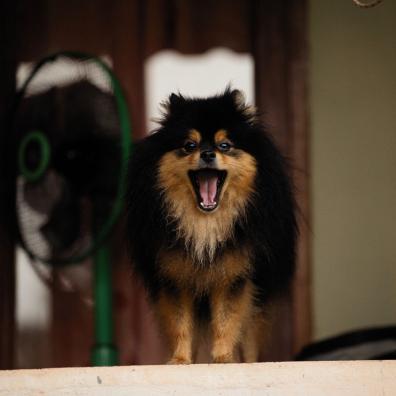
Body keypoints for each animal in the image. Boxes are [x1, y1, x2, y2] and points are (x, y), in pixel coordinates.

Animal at [125, 88, 296, 364]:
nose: (207, 154)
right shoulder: (175, 276)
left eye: (224, 145)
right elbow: (180, 325)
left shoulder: (234, 275)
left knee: (250, 335)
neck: (205, 225)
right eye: (189, 145)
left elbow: (226, 322)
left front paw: (224, 359)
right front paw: (180, 360)